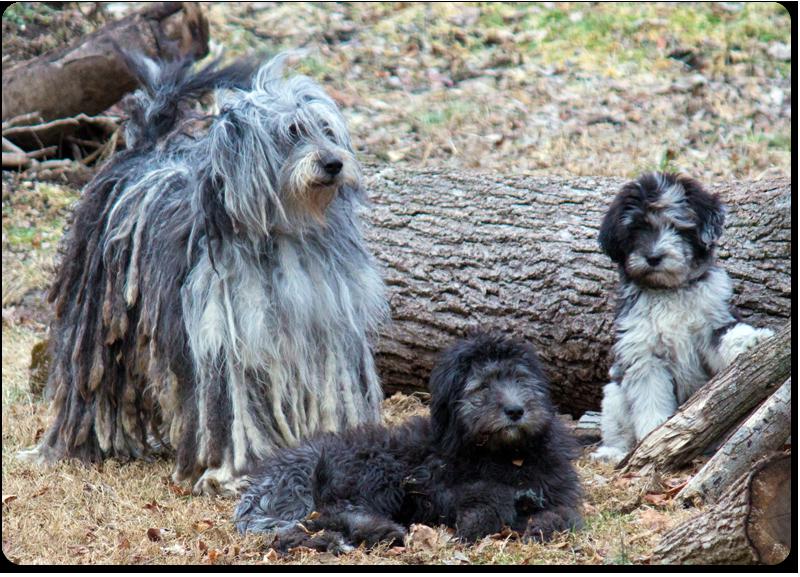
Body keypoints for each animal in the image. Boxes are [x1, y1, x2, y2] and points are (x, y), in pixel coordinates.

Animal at [20, 53, 390, 496]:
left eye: (327, 130)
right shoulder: (229, 341)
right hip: (96, 325)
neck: (286, 232)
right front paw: (234, 473)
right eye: (291, 133)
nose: (334, 163)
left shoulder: (326, 332)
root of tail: (142, 151)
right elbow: (233, 414)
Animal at [592, 172, 772, 464]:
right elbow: (650, 398)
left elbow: (728, 335)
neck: (670, 290)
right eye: (636, 229)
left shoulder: (713, 321)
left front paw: (752, 340)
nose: (653, 257)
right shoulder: (643, 355)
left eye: (676, 225)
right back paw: (612, 453)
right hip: (613, 395)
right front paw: (654, 435)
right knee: (617, 429)